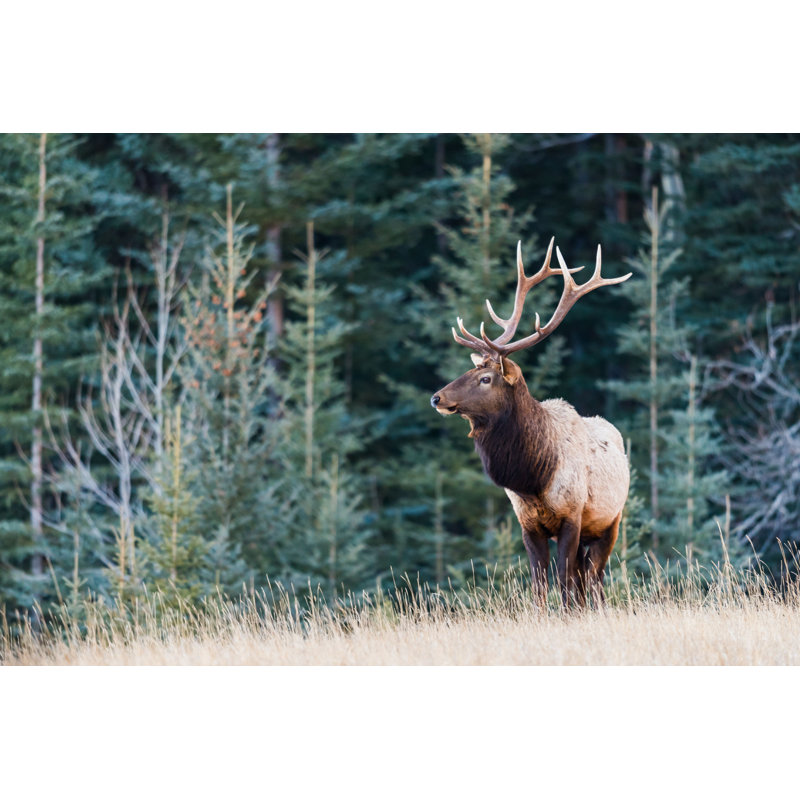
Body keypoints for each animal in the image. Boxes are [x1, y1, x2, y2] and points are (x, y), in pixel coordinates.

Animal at [430, 238, 631, 608]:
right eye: (469, 370)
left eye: (485, 378)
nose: (437, 397)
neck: (533, 477)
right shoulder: (528, 524)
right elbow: (539, 585)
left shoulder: (572, 517)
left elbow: (565, 583)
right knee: (586, 576)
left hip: (612, 520)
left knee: (593, 577)